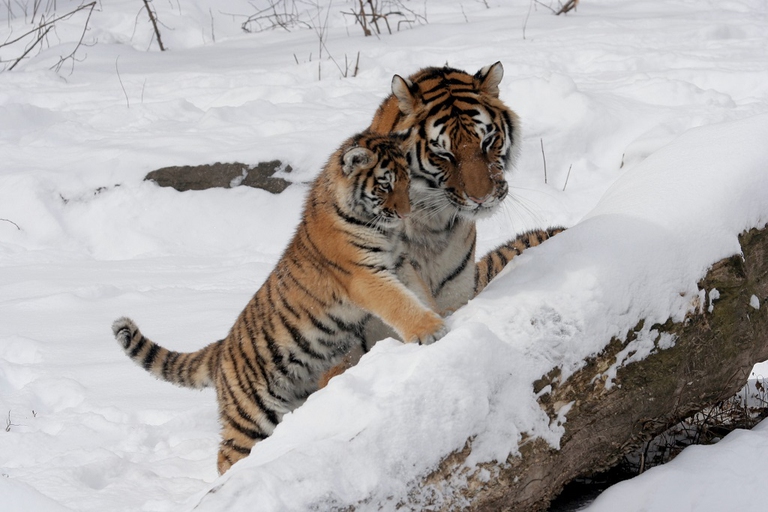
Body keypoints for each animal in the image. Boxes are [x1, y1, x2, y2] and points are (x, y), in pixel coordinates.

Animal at [111, 132, 446, 474]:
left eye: (407, 181)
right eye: (384, 185)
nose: (405, 214)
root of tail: (221, 347)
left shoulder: (400, 265)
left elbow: (419, 295)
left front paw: (444, 316)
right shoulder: (365, 275)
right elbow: (399, 303)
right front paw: (431, 330)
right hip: (252, 416)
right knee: (228, 456)